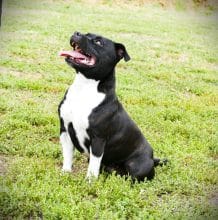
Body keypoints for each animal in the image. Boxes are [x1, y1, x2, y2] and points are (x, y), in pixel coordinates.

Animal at [58, 31, 165, 182]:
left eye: (98, 42)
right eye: (86, 33)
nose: (76, 32)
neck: (84, 87)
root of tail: (152, 158)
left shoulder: (98, 139)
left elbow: (93, 165)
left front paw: (89, 181)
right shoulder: (65, 129)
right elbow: (68, 155)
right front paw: (65, 172)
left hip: (136, 165)